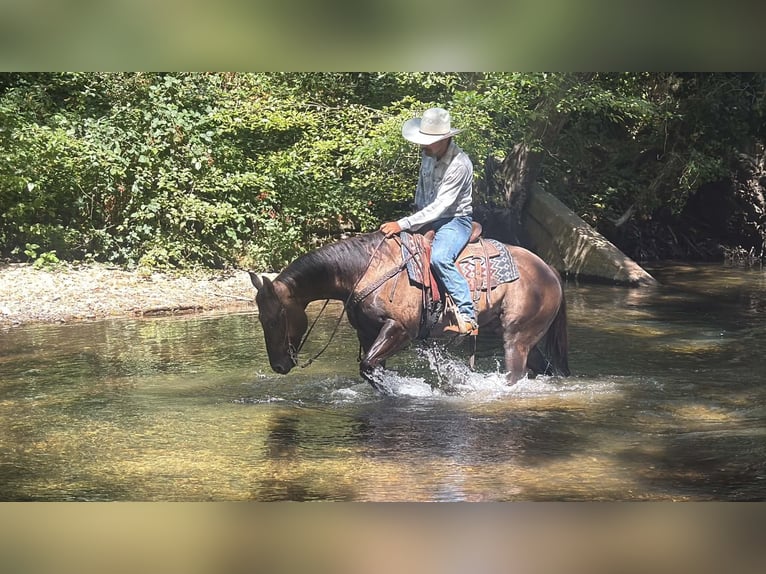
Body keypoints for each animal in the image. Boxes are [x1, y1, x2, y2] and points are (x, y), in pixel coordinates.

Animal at [249, 230, 569, 392]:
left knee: (515, 374)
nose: (278, 365)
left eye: (277, 318)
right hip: (528, 340)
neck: (364, 270)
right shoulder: (368, 335)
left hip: (517, 338)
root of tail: (549, 270)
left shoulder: (400, 330)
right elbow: (372, 369)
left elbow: (368, 367)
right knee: (546, 369)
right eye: (260, 319)